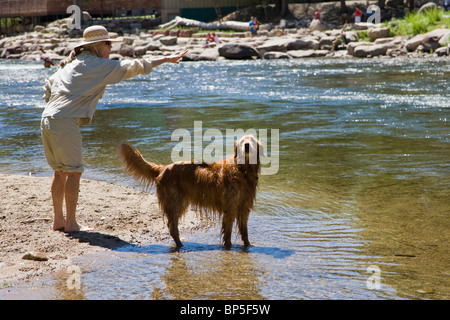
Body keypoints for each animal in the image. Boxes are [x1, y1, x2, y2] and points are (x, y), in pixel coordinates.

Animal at [117, 135, 264, 248]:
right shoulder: (230, 207)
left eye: (251, 140)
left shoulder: (244, 207)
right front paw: (228, 246)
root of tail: (164, 168)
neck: (243, 170)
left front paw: (248, 245)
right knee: (172, 226)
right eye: (241, 141)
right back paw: (180, 245)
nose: (246, 145)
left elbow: (244, 230)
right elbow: (227, 232)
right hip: (175, 202)